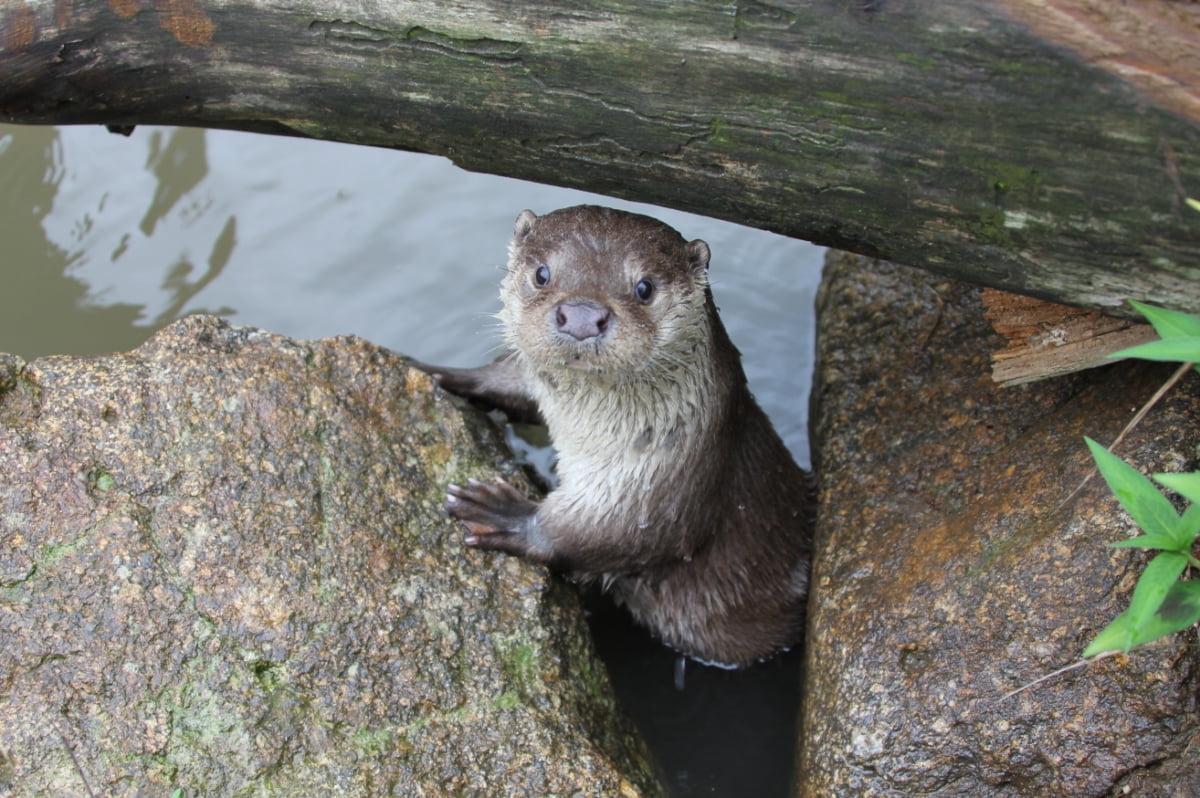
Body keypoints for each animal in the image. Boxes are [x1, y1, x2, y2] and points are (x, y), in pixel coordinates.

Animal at [422, 205, 816, 667]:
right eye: (542, 273)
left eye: (644, 287)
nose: (580, 316)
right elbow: (508, 381)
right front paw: (438, 372)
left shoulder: (668, 476)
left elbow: (620, 533)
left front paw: (504, 513)